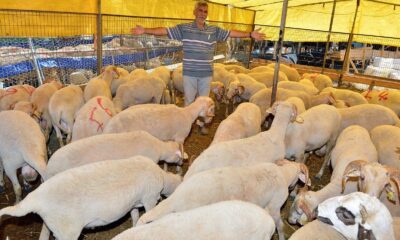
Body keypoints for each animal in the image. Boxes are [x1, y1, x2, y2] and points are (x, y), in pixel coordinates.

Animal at [0, 157, 181, 240]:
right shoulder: (149, 199)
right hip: (68, 232)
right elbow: (148, 215)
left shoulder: (134, 203)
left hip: (54, 225)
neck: (163, 178)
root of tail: (35, 199)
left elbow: (135, 215)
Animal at [138, 159, 310, 240]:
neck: (284, 175)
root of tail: (177, 197)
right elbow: (279, 225)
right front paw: (282, 236)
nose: (294, 187)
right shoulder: (273, 207)